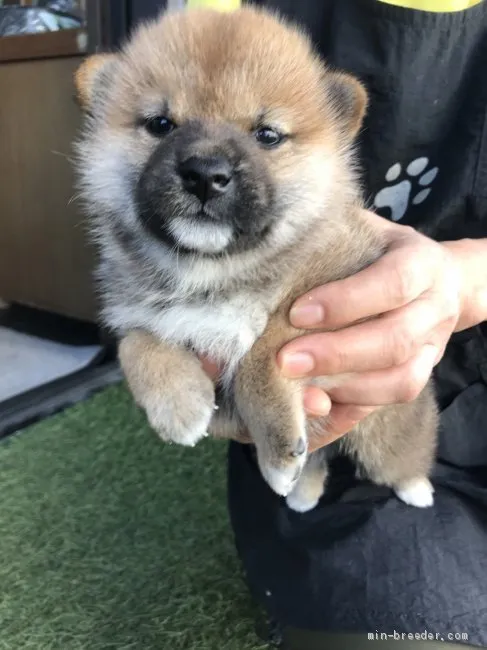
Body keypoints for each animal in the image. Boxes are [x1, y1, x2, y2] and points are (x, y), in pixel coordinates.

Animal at [75, 6, 438, 512]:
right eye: (161, 125)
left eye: (267, 135)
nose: (204, 174)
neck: (213, 272)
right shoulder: (140, 314)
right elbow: (137, 344)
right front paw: (177, 405)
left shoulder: (329, 294)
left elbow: (264, 349)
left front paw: (278, 448)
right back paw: (303, 494)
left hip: (384, 429)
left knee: (401, 454)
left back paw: (415, 489)